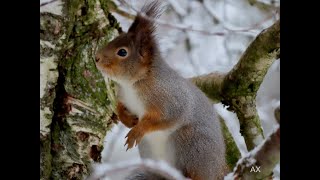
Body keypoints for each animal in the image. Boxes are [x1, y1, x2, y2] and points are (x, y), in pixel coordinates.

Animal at [95, 0, 228, 179]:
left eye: (122, 52)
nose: (96, 58)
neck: (133, 84)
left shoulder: (169, 100)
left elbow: (163, 118)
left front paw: (137, 130)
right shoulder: (124, 97)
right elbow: (119, 108)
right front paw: (128, 120)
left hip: (191, 144)